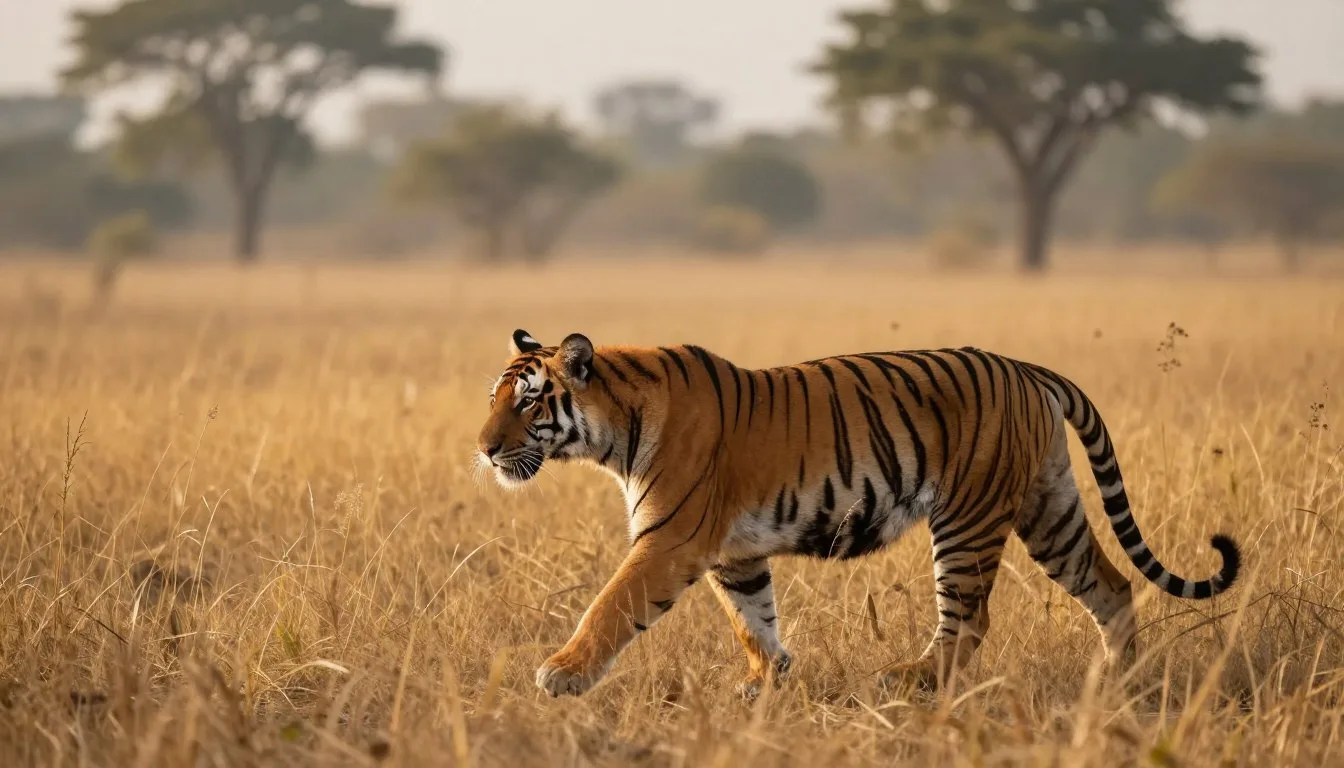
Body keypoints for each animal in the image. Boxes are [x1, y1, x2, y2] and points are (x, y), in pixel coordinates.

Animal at [476, 329, 1241, 698]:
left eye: (529, 402)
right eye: (495, 398)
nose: (483, 449)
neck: (613, 432)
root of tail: (1028, 368)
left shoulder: (670, 541)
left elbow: (609, 606)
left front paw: (561, 674)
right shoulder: (734, 553)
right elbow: (753, 620)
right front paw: (766, 683)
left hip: (968, 520)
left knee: (970, 619)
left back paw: (912, 680)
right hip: (1048, 508)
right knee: (1112, 585)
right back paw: (1122, 684)